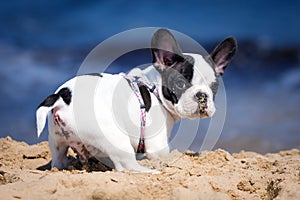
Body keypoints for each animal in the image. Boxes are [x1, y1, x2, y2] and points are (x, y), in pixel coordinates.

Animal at [35, 28, 237, 173]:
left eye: (214, 86)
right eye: (180, 84)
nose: (202, 95)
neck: (154, 88)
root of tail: (63, 97)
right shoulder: (158, 146)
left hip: (57, 142)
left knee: (58, 161)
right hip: (115, 137)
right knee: (126, 166)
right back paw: (150, 171)